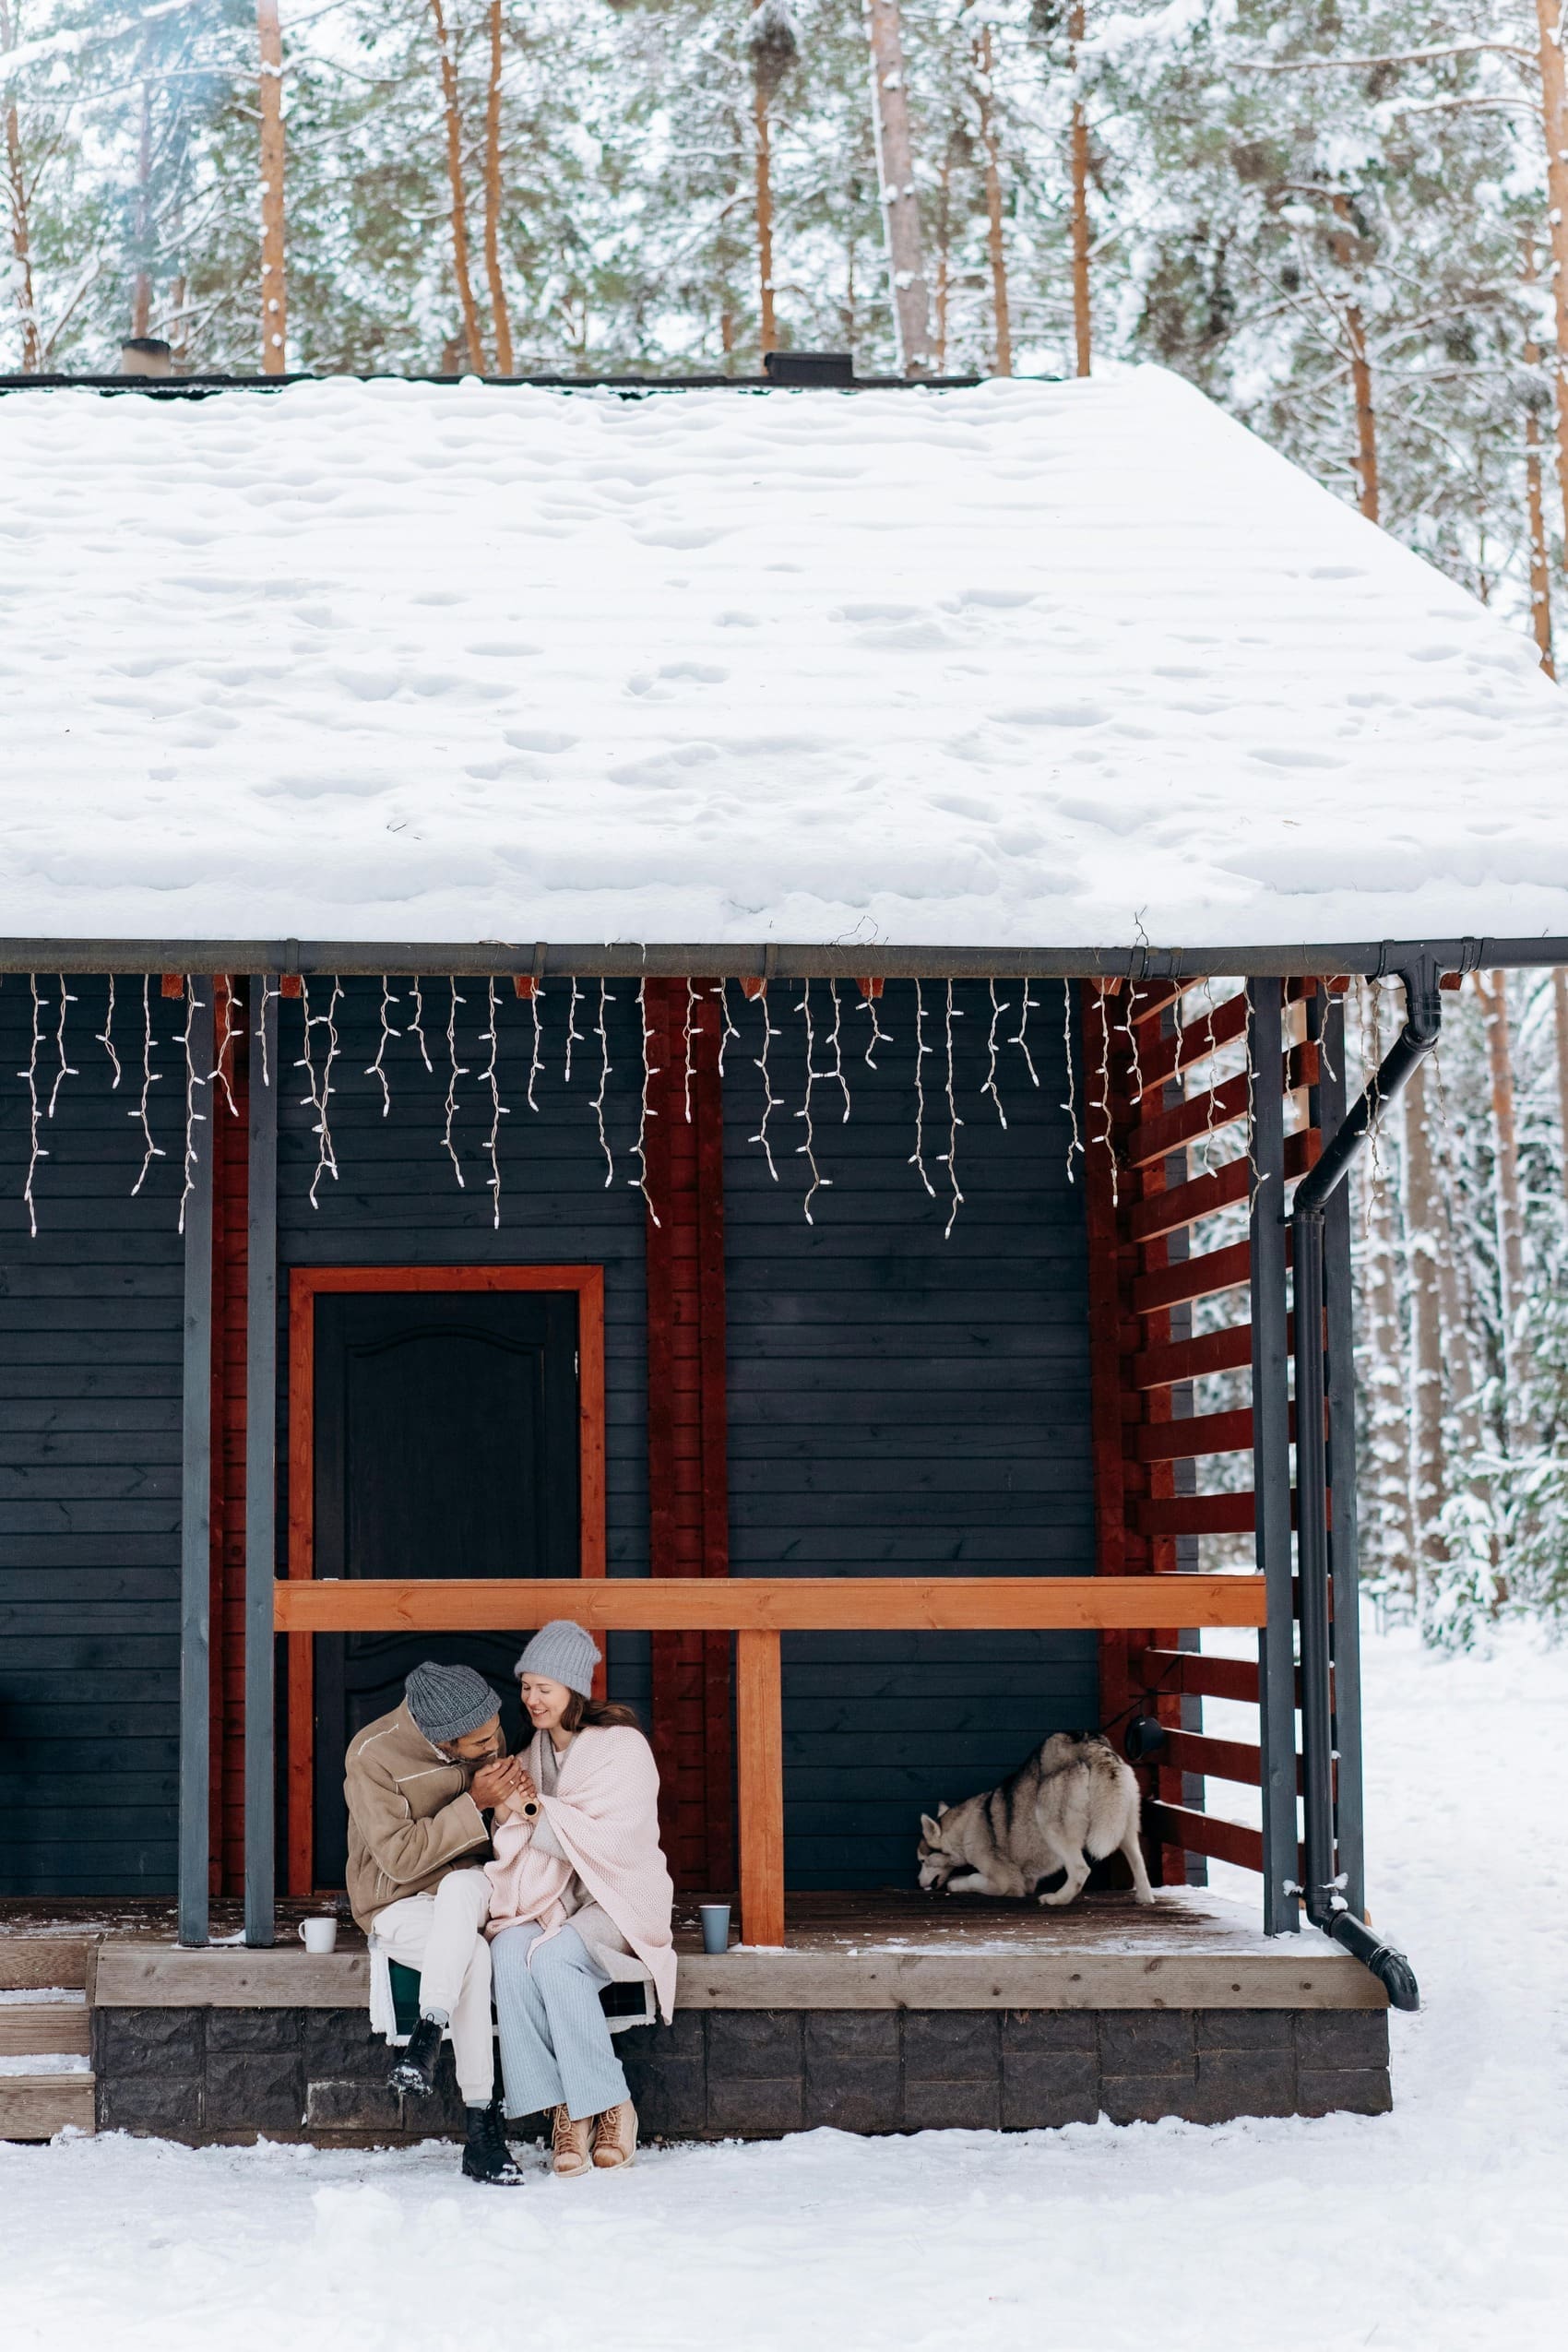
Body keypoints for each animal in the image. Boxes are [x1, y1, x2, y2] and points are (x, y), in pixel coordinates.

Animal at [921, 1730, 1151, 1909]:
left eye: (922, 1861)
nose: (918, 1882)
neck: (965, 1827)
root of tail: (1090, 1745)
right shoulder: (1027, 1880)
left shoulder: (1005, 1881)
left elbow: (972, 1878)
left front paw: (955, 1882)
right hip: (1122, 1823)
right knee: (1138, 1861)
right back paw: (1144, 1897)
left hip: (1050, 1824)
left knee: (1080, 1870)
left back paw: (1058, 1899)